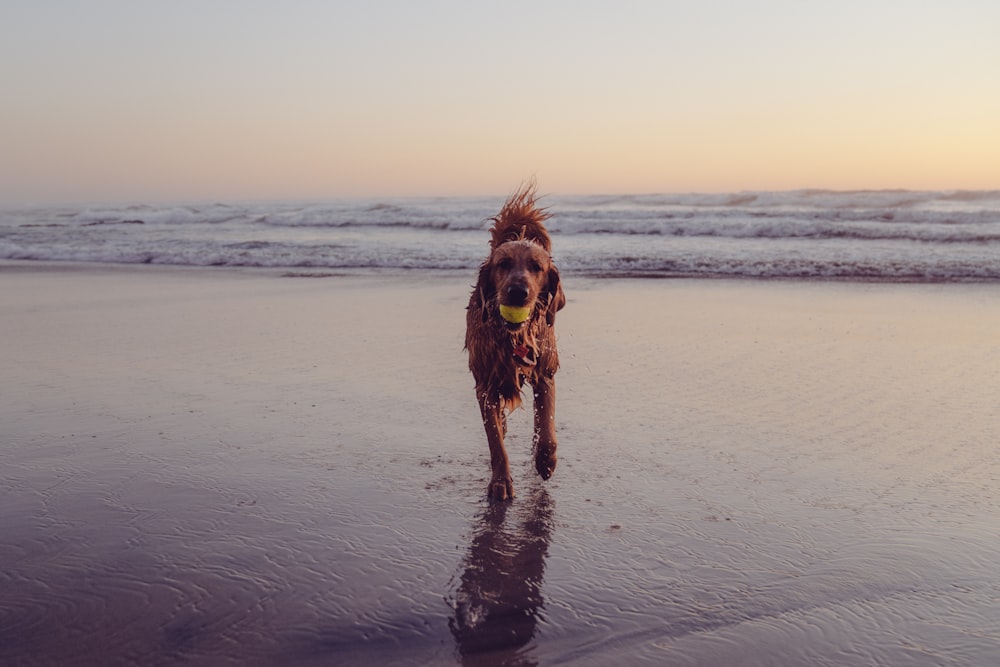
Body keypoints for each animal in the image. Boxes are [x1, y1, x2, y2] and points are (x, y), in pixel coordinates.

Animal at [466, 184, 568, 500]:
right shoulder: (485, 385)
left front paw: (545, 461)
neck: (513, 338)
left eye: (537, 267)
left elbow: (547, 428)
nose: (517, 292)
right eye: (503, 264)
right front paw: (501, 482)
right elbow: (495, 443)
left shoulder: (545, 374)